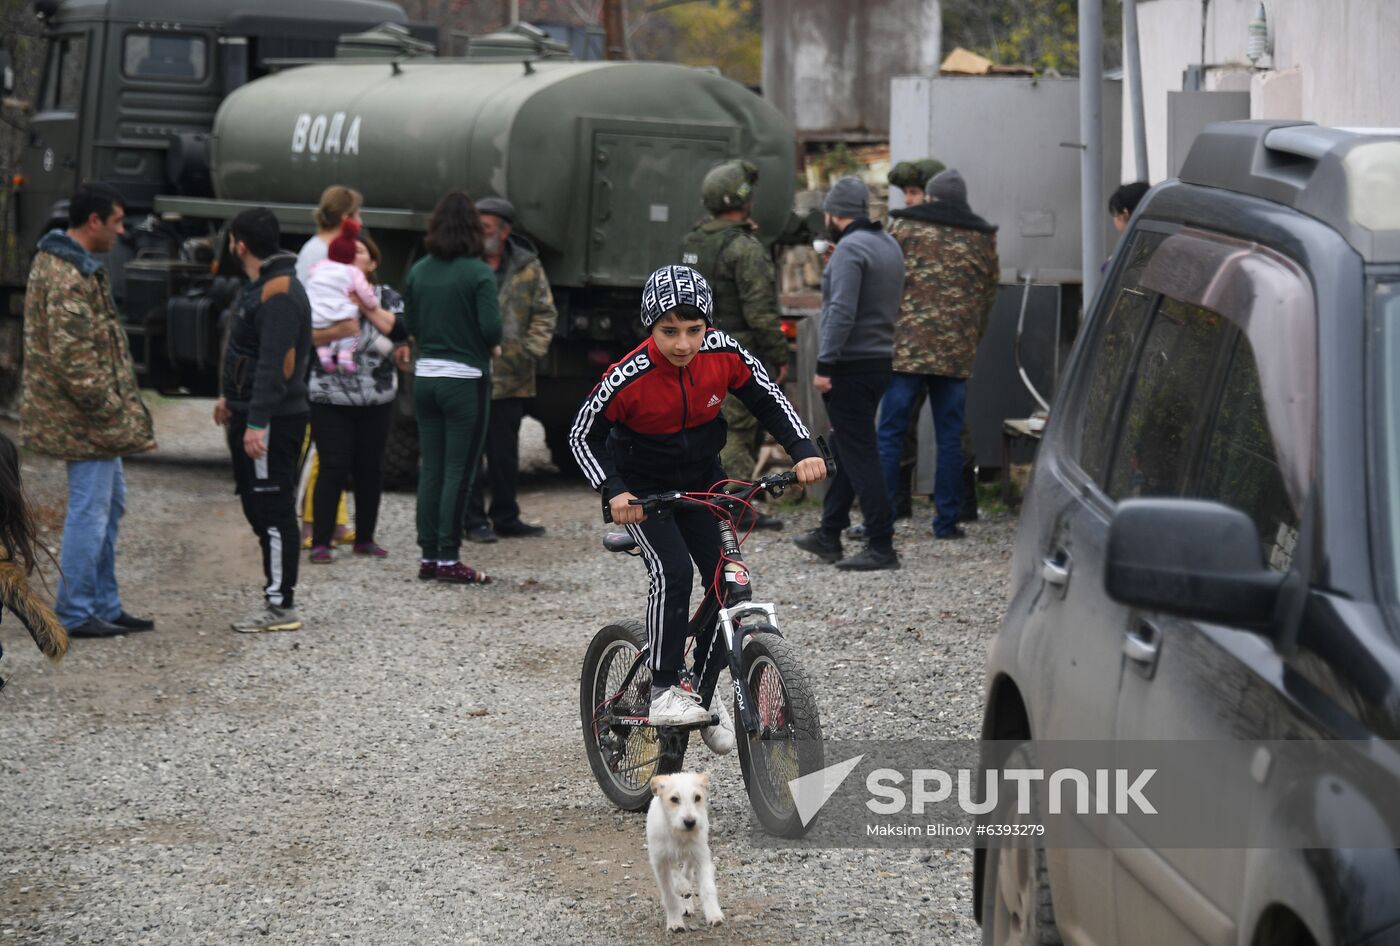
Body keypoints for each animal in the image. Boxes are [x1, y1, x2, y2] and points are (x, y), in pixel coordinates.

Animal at [646, 778, 728, 929]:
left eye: (697, 797)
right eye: (674, 799)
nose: (690, 822)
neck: (678, 834)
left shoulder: (701, 856)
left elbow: (707, 888)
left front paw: (714, 914)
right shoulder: (660, 861)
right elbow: (671, 892)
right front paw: (675, 922)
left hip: (693, 854)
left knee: (687, 872)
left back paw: (687, 904)